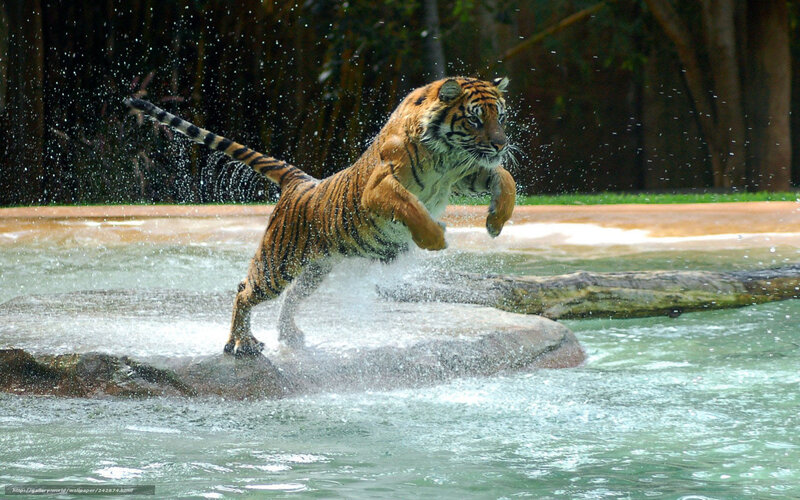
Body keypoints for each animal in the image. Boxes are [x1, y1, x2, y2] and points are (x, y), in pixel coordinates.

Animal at [126, 76, 516, 357]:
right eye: (475, 118)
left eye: (500, 116)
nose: (502, 144)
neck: (446, 156)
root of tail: (299, 181)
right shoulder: (379, 187)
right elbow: (411, 206)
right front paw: (435, 237)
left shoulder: (467, 173)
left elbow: (505, 178)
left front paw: (495, 221)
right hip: (277, 263)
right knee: (244, 290)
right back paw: (241, 344)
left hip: (316, 268)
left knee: (291, 298)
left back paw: (290, 337)